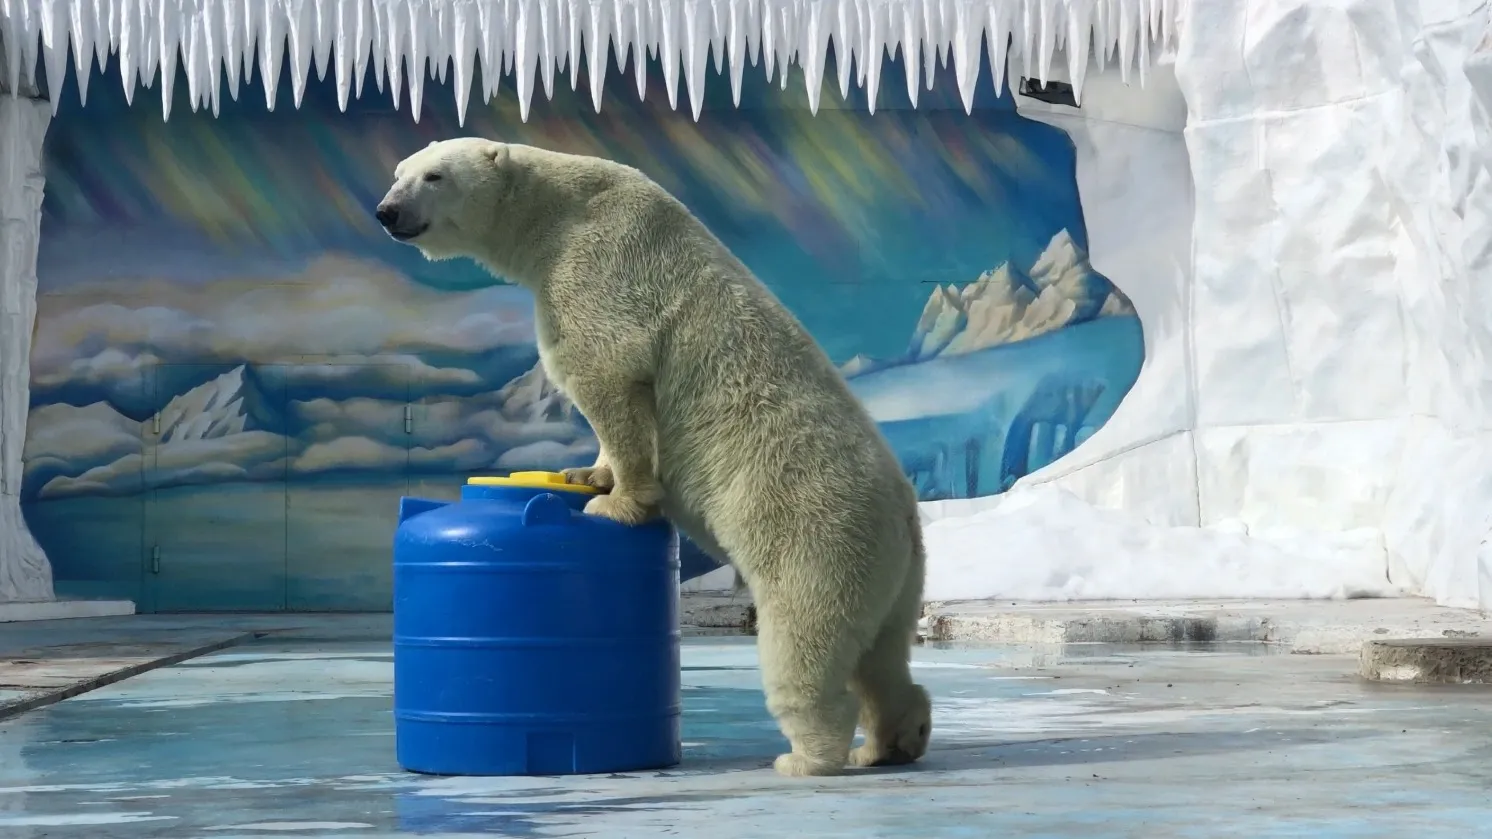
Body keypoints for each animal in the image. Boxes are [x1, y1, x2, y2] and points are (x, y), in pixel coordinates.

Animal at [375, 138, 931, 776]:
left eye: (434, 176)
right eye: (399, 172)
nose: (387, 211)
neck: (557, 211)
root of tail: (905, 515)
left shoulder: (599, 267)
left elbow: (605, 373)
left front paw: (616, 503)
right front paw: (587, 472)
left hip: (817, 535)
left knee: (805, 643)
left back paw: (806, 757)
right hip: (895, 575)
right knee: (883, 656)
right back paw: (891, 740)